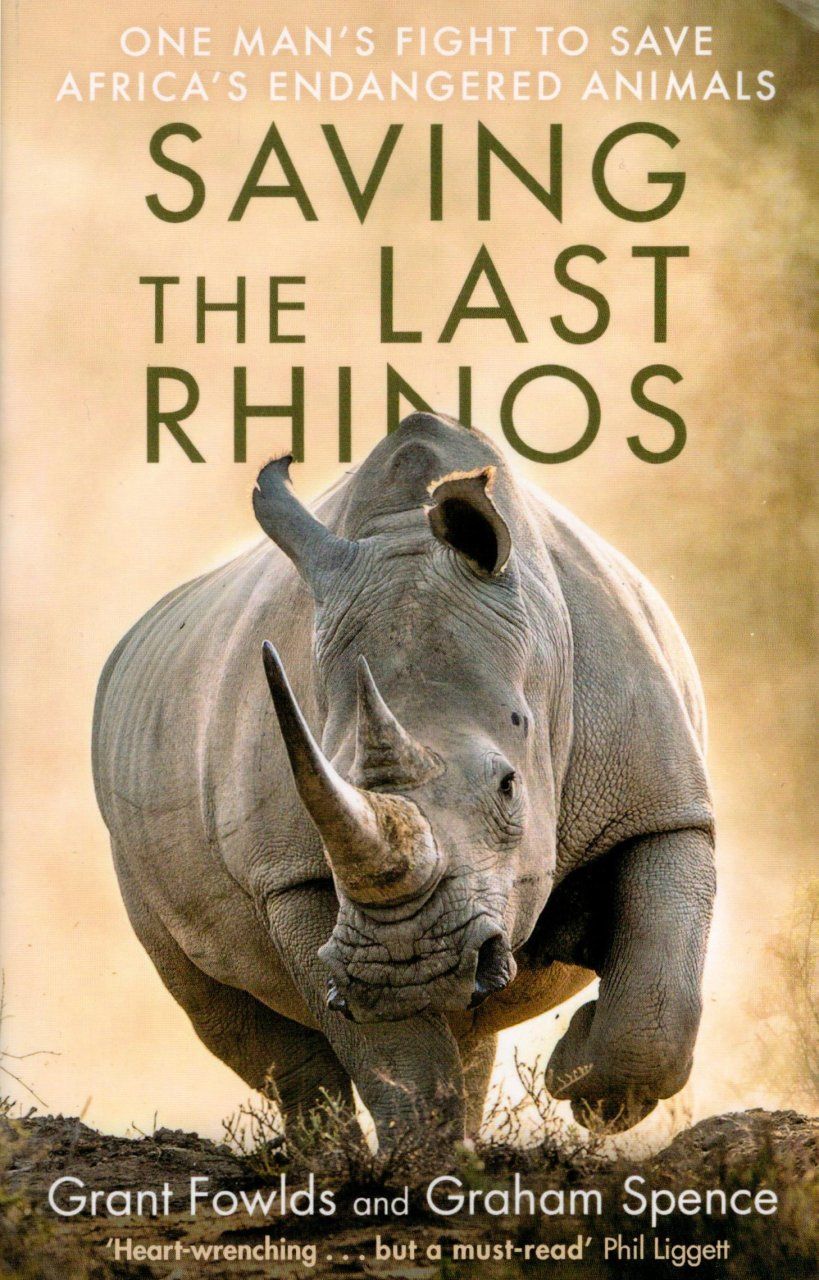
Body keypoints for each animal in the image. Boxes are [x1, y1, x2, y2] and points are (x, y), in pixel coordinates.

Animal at [92, 412, 715, 1140]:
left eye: (508, 786)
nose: (405, 969)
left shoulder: (660, 803)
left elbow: (657, 995)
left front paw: (583, 1084)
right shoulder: (292, 876)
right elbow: (397, 1057)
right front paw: (427, 1160)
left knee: (472, 1031)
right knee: (227, 1014)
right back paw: (330, 1155)